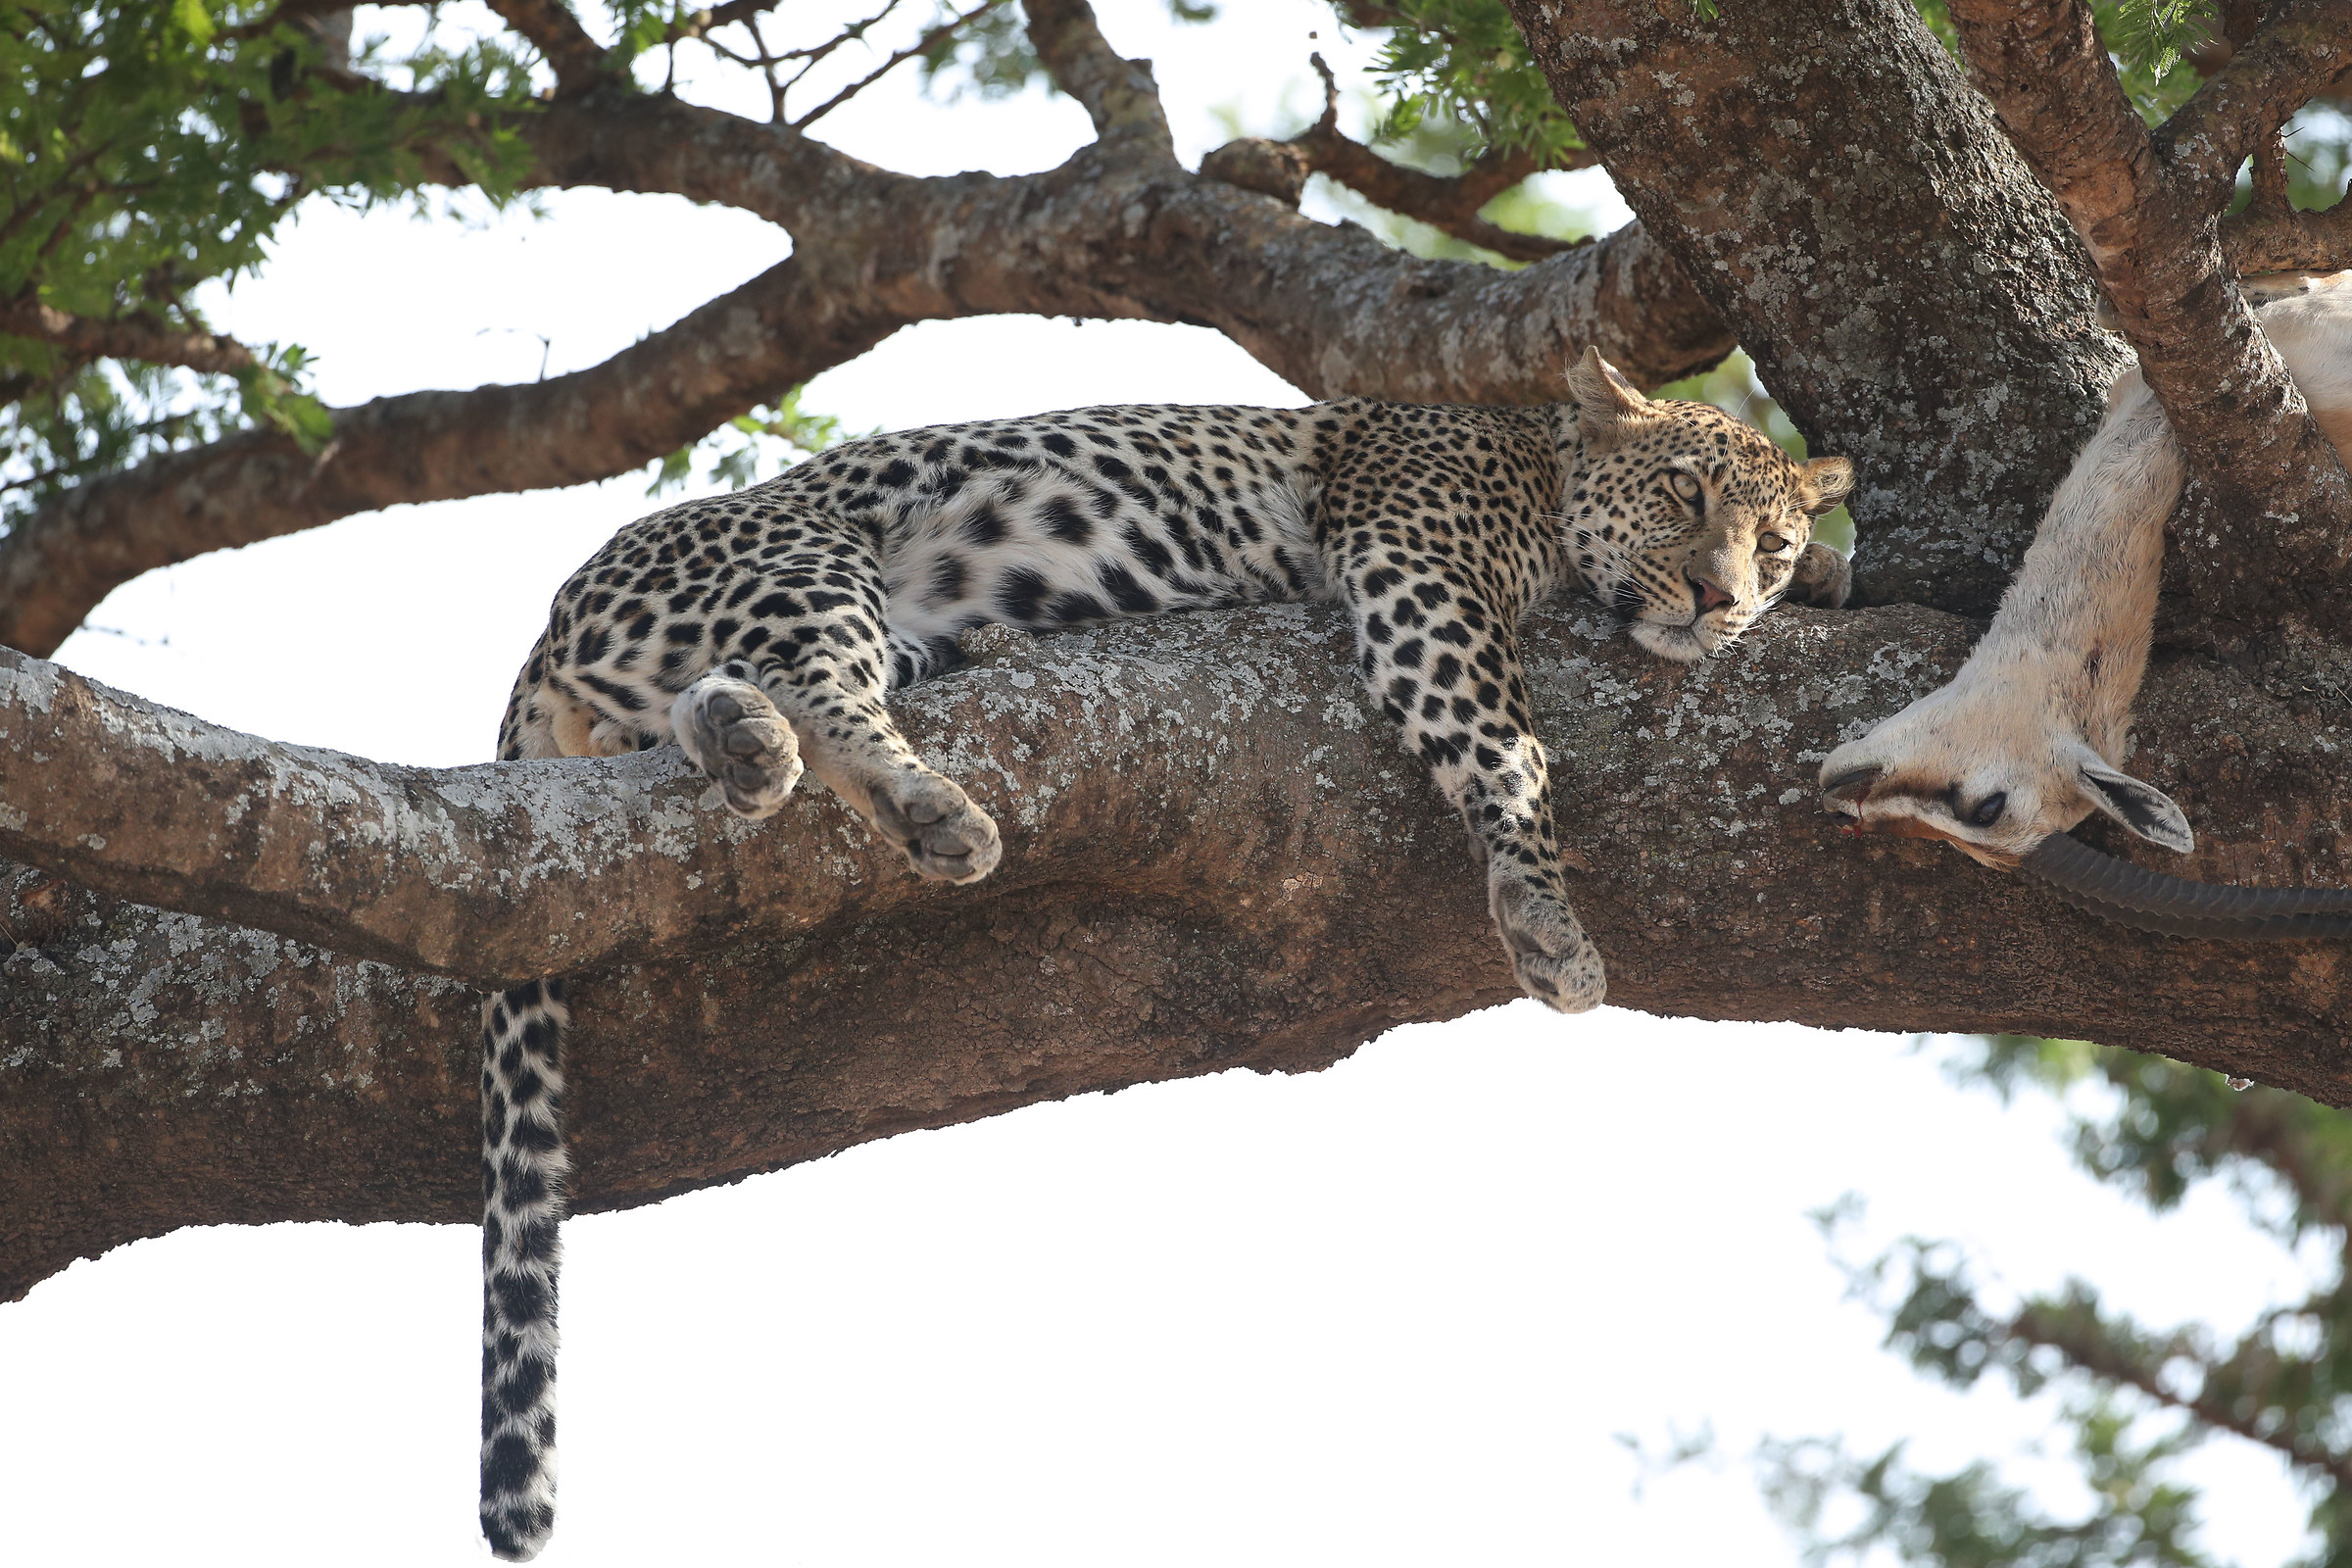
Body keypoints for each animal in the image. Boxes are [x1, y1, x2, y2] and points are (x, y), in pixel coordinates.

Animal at [471, 346, 1855, 1559]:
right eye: (1685, 498)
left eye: (1772, 543)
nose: (1725, 601)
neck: (1534, 460)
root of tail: (551, 621)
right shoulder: (1420, 572)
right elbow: (1504, 745)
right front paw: (1547, 918)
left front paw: (1836, 576)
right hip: (808, 556)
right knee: (824, 687)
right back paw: (931, 808)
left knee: (717, 703)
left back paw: (758, 743)